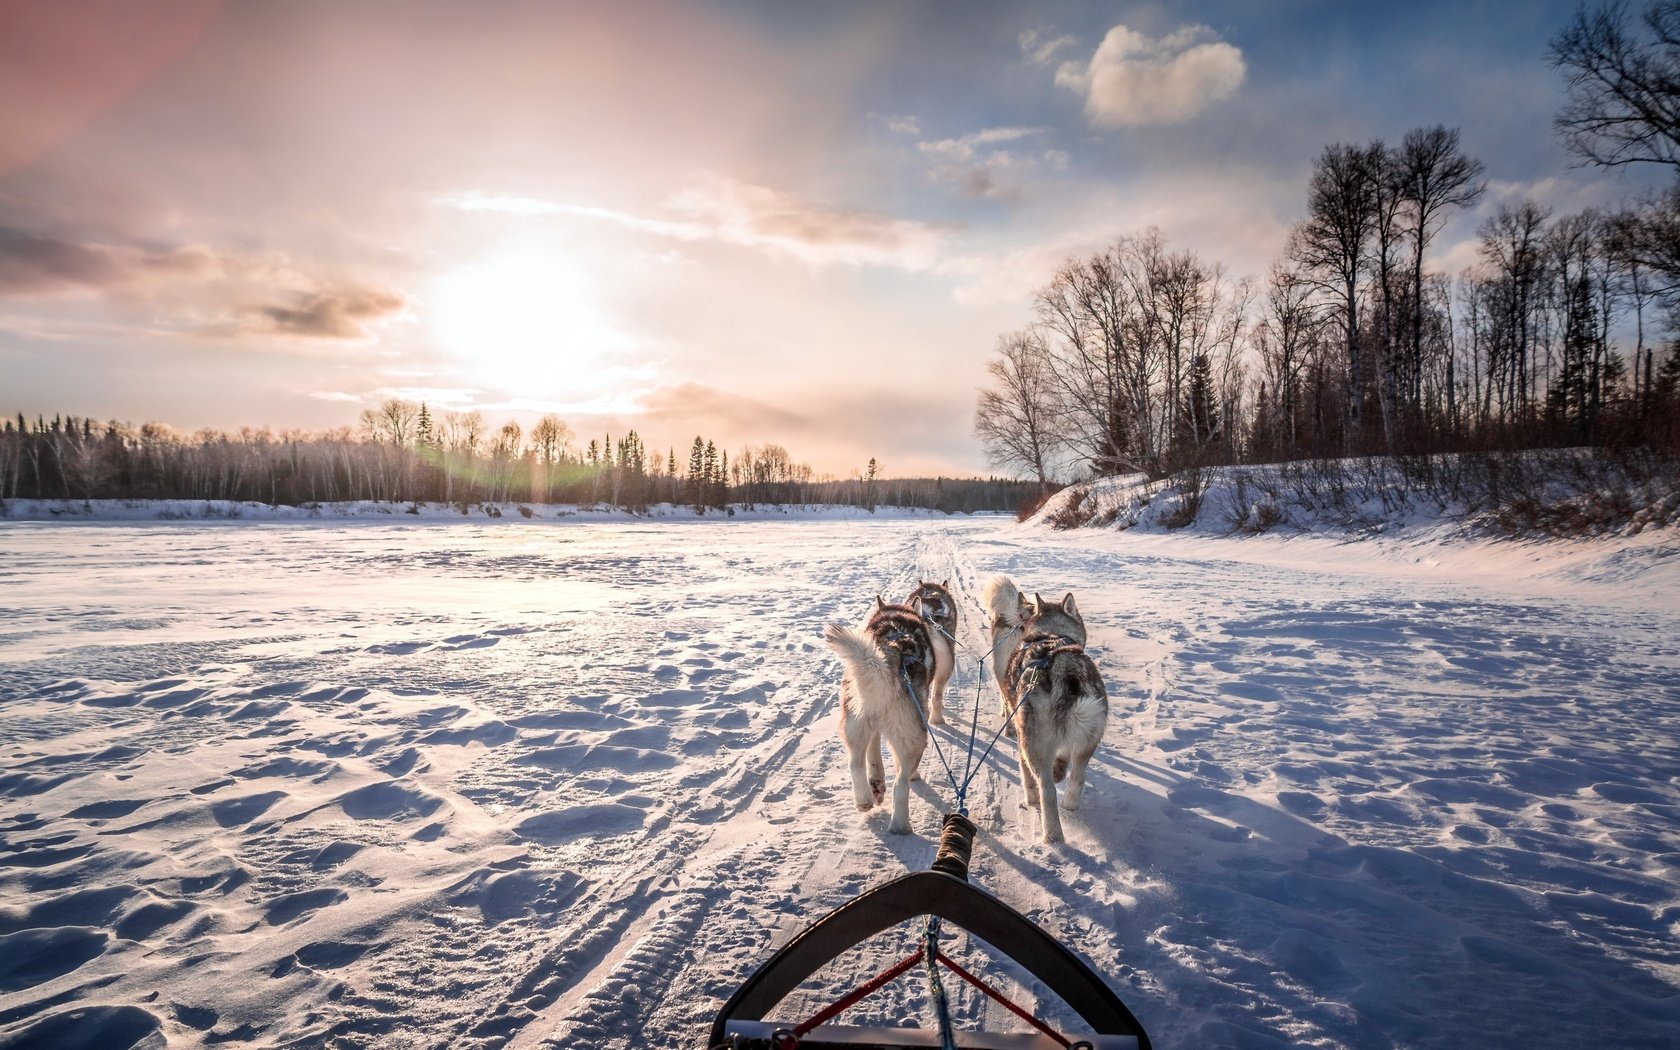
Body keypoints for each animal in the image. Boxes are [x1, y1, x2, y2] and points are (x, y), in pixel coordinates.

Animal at [823, 598, 940, 836]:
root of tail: (888, 660)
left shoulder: (872, 727)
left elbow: (873, 754)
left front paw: (876, 779)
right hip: (914, 738)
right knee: (901, 783)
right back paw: (901, 825)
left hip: (855, 725)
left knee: (856, 764)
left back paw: (865, 799)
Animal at [981, 574, 1108, 843]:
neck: (1051, 635)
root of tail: (1066, 669)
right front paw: (1060, 769)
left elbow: (1026, 775)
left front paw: (1030, 798)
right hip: (1088, 738)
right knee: (1077, 778)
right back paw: (1069, 804)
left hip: (1033, 744)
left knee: (1046, 788)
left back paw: (1052, 834)